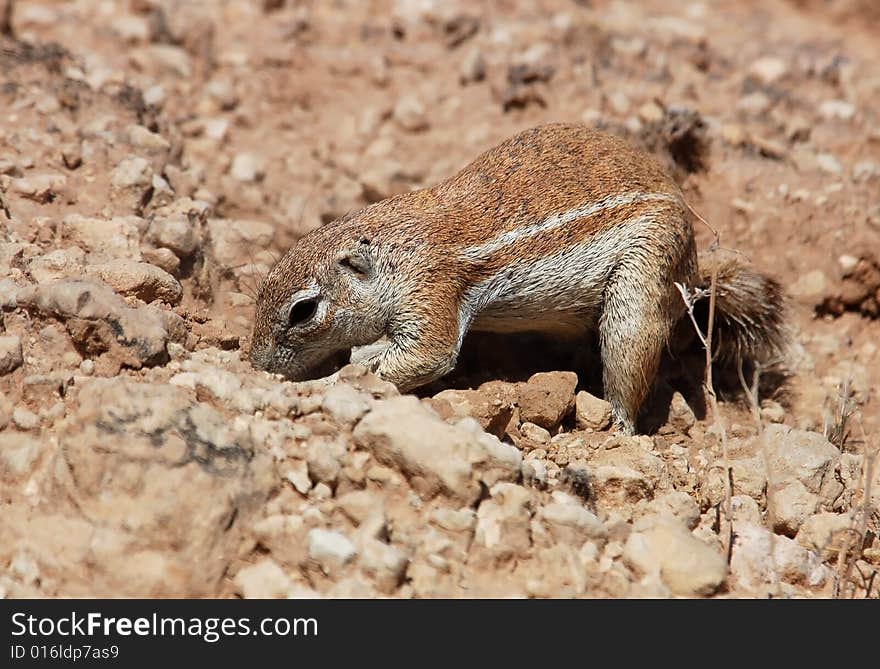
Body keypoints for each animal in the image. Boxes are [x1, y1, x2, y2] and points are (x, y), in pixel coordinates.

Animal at [251, 122, 788, 430]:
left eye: (303, 311)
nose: (256, 364)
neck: (392, 248)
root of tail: (697, 270)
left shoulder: (431, 292)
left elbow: (426, 355)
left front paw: (334, 378)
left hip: (642, 286)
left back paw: (615, 426)